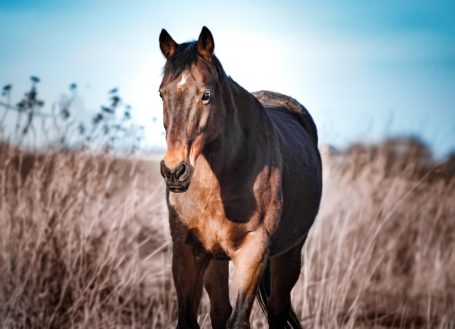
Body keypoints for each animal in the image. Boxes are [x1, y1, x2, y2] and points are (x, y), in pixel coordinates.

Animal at [159, 26, 322, 328]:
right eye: (162, 94)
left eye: (206, 95)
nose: (174, 171)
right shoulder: (187, 252)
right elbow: (189, 319)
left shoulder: (252, 254)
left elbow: (239, 320)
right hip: (216, 258)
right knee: (220, 309)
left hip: (289, 255)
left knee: (278, 310)